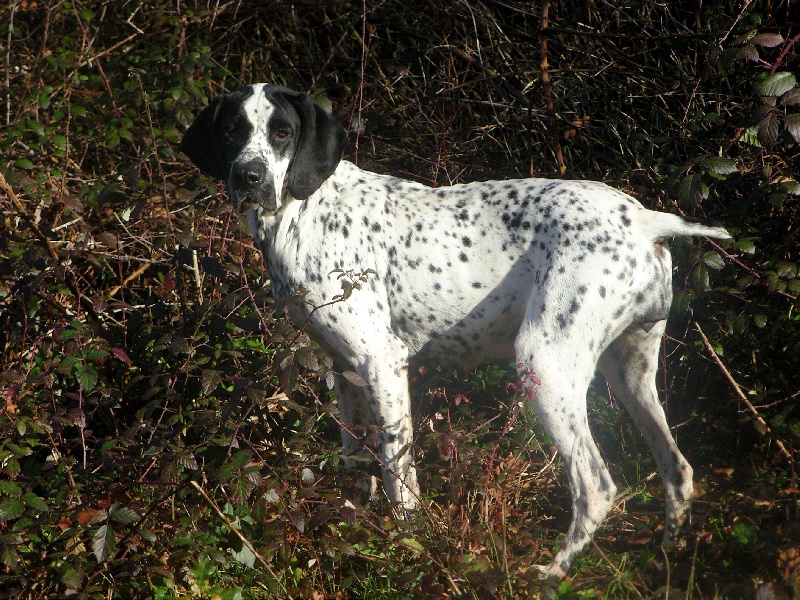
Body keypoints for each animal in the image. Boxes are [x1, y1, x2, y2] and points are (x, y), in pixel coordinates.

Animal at [183, 83, 732, 576]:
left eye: (282, 132)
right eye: (232, 132)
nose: (248, 175)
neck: (304, 211)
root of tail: (645, 221)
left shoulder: (382, 364)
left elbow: (397, 475)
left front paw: (408, 545)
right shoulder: (344, 372)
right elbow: (355, 464)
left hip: (544, 365)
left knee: (595, 486)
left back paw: (552, 572)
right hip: (630, 373)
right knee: (677, 470)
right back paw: (667, 555)